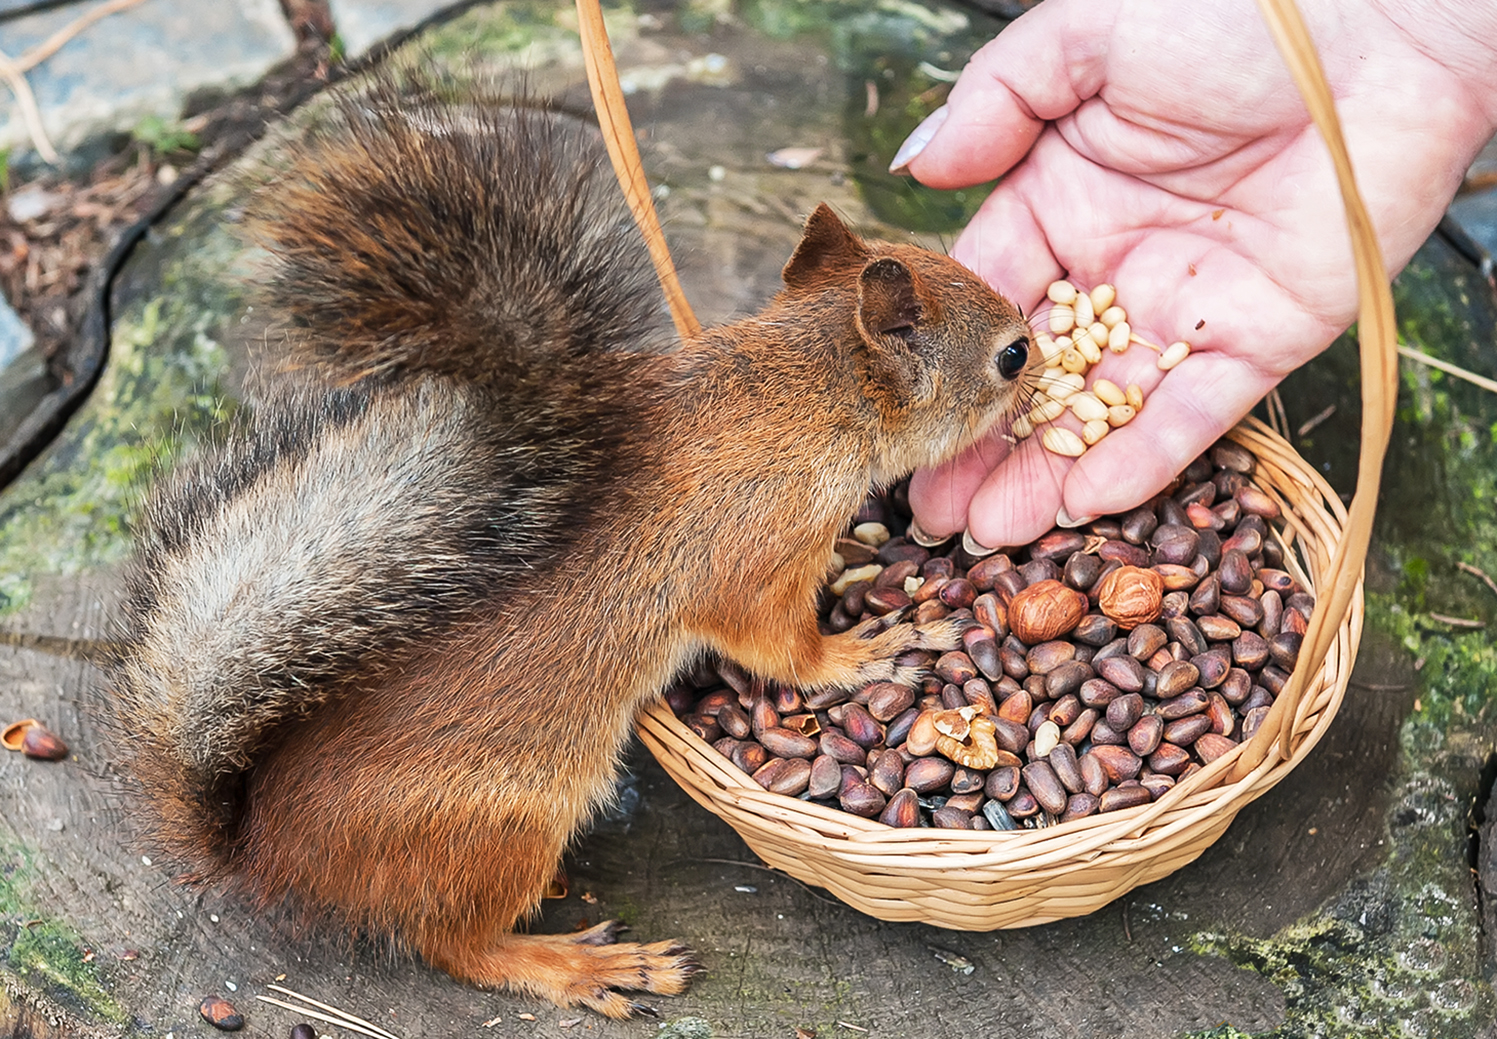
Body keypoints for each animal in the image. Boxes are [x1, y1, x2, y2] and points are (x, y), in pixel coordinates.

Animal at [108, 71, 1041, 1018]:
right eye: (1009, 355)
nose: (1040, 364)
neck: (803, 391)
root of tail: (266, 853)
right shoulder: (753, 558)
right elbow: (787, 651)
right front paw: (875, 647)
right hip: (506, 823)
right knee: (458, 946)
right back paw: (580, 964)